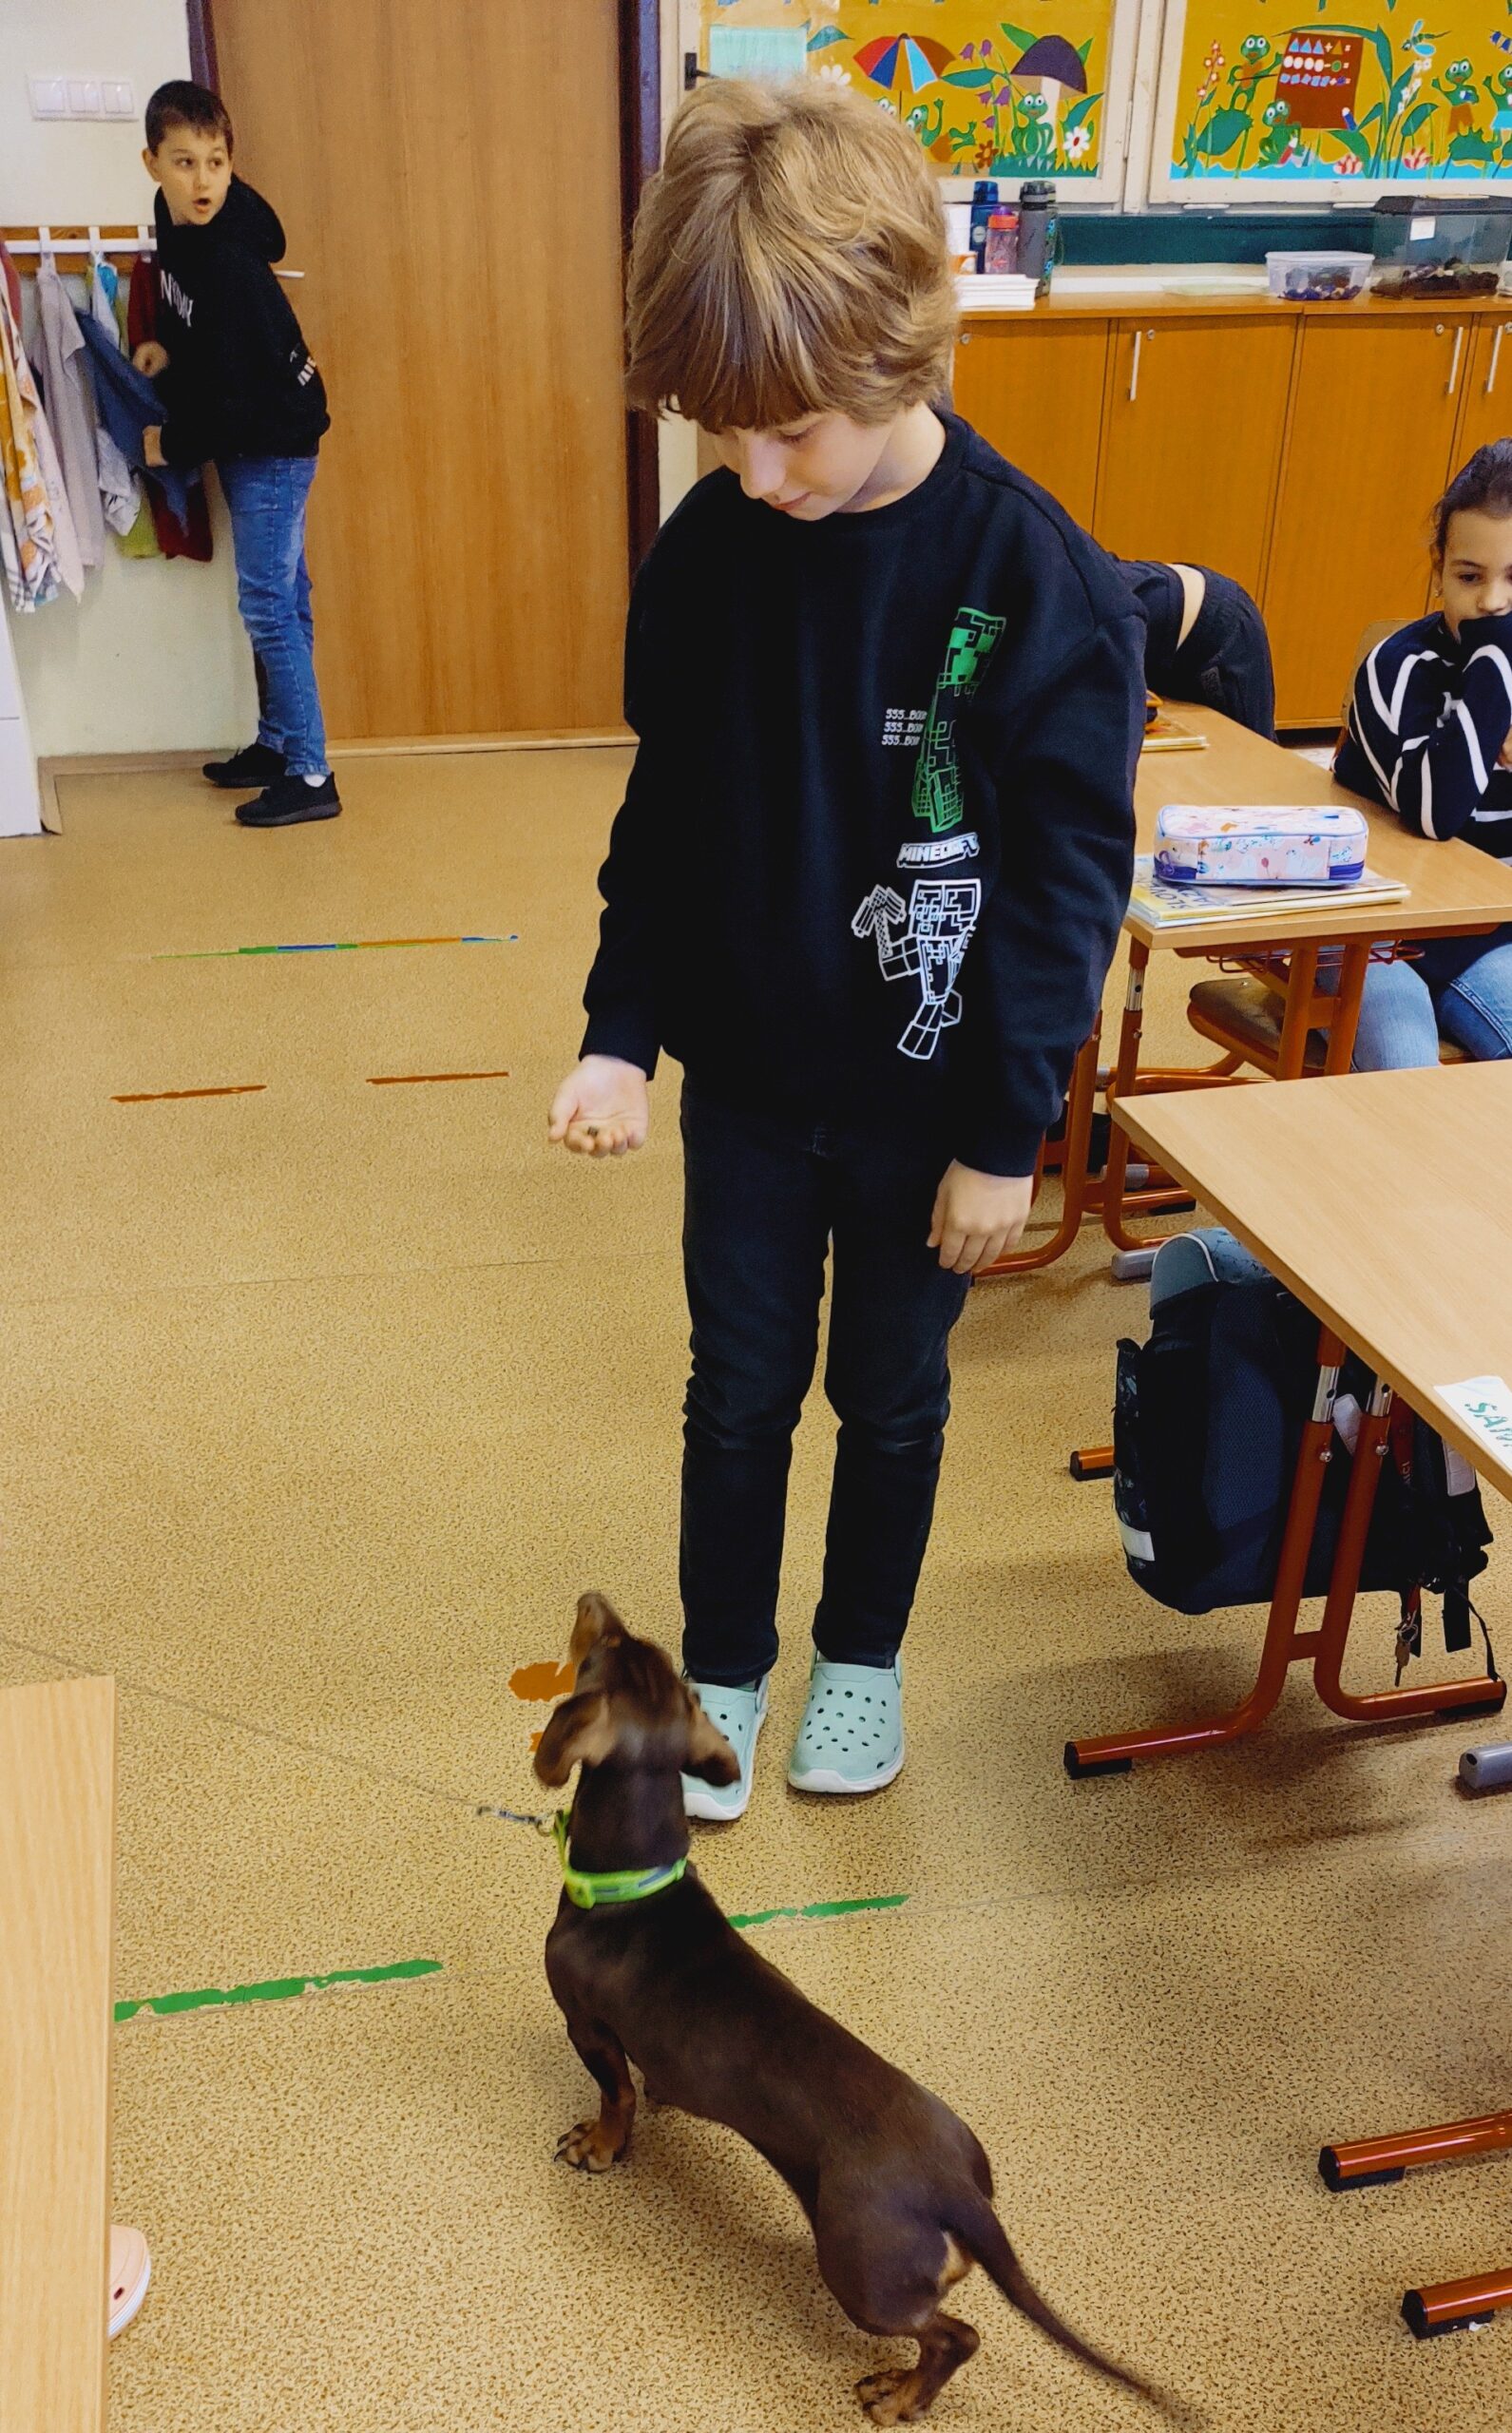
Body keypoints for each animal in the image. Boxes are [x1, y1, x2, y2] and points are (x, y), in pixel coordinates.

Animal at [535, 1593, 1179, 2426]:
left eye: (601, 1649)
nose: (593, 1599)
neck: (635, 1884)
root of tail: (955, 2190)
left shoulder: (587, 2028)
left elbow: (613, 2099)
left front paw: (599, 2145)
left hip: (859, 2269)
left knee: (955, 2337)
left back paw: (897, 2395)